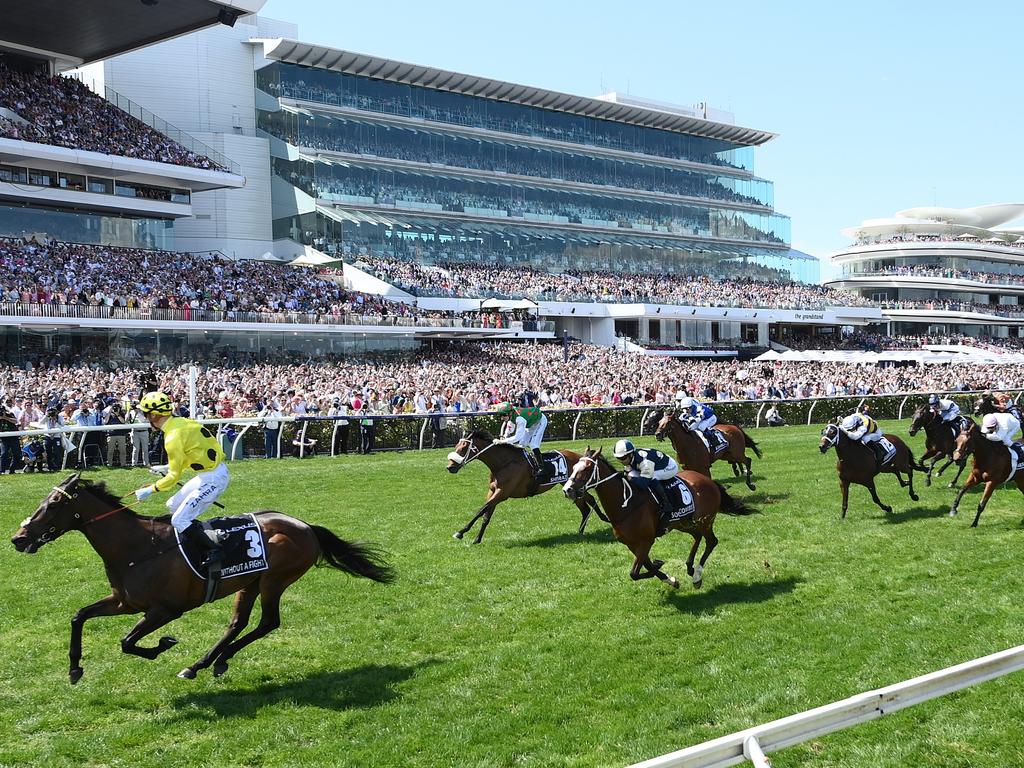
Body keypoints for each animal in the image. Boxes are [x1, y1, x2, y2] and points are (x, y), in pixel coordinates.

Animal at [9, 475, 393, 684]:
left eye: (53, 505)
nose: (18, 538)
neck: (138, 547)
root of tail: (305, 526)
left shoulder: (164, 610)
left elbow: (127, 642)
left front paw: (163, 645)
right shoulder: (124, 601)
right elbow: (79, 616)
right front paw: (74, 669)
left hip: (274, 580)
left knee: (268, 622)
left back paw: (209, 662)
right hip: (249, 583)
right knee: (238, 623)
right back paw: (205, 664)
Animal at [444, 430, 602, 544]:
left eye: (463, 448)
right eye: (456, 447)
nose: (450, 467)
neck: (503, 463)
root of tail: (580, 457)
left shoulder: (502, 493)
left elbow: (481, 510)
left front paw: (460, 532)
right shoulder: (493, 491)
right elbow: (486, 515)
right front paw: (477, 539)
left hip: (574, 486)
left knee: (589, 501)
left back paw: (601, 518)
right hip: (571, 488)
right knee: (586, 507)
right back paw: (583, 530)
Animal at [557, 444, 757, 589]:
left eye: (587, 468)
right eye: (574, 467)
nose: (568, 490)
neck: (626, 504)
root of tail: (709, 481)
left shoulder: (646, 540)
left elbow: (635, 573)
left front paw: (662, 566)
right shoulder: (631, 544)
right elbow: (645, 567)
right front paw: (671, 579)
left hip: (705, 521)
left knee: (711, 541)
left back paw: (697, 575)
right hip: (684, 523)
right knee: (697, 537)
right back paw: (690, 567)